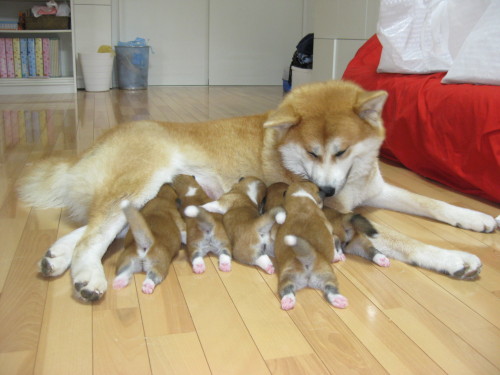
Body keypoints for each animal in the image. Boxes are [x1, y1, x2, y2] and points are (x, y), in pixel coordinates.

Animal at [274, 182, 348, 312]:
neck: (301, 199)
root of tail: (306, 258)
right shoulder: (330, 233)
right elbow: (335, 244)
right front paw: (338, 256)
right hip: (327, 273)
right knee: (331, 288)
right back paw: (339, 300)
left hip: (287, 276)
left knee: (287, 289)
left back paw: (288, 302)